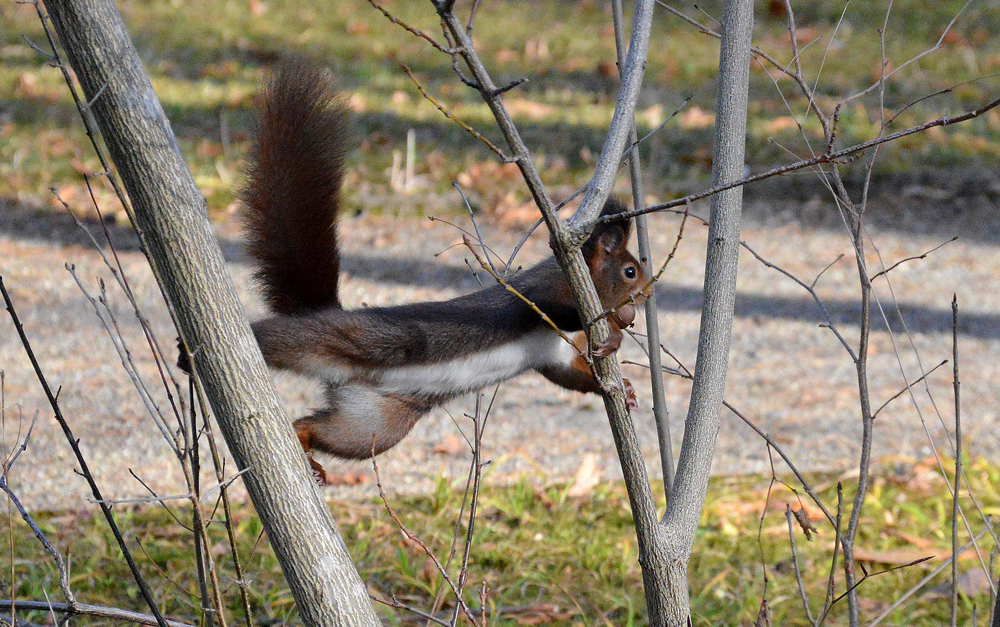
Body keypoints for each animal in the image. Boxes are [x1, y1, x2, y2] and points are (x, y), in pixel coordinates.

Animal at [213, 61, 648, 484]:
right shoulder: (545, 293)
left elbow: (569, 375)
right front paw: (614, 329)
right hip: (352, 341)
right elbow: (561, 310)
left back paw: (309, 454)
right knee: (280, 341)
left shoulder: (552, 353)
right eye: (629, 271)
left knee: (321, 428)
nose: (645, 297)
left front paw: (624, 387)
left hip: (373, 421)